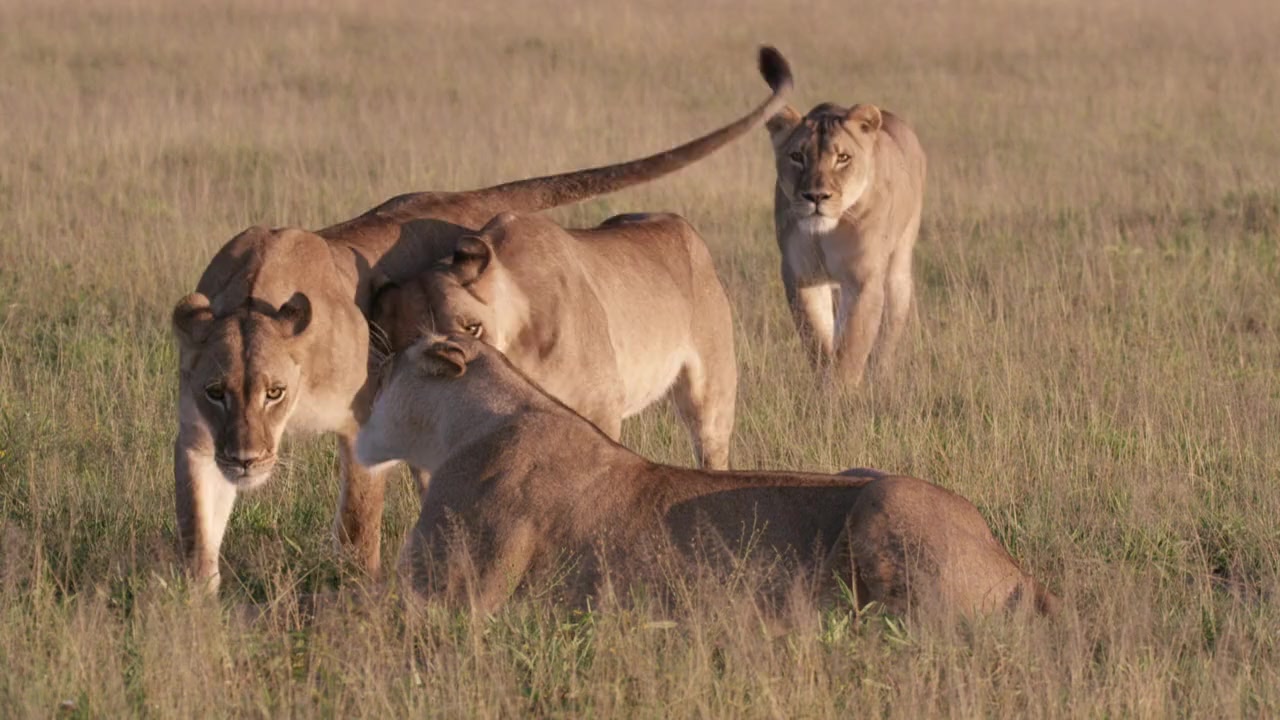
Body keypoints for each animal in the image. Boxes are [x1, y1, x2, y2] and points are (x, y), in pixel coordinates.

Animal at [355, 333, 1059, 618]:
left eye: (387, 367)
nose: (358, 397)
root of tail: (1015, 567)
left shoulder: (453, 598)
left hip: (886, 500)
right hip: (862, 471)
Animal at [763, 84, 927, 386]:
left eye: (843, 158)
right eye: (797, 156)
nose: (816, 197)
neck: (826, 232)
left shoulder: (863, 281)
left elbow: (851, 347)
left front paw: (839, 393)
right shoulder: (802, 277)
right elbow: (818, 340)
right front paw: (824, 381)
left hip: (898, 266)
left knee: (888, 333)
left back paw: (880, 377)